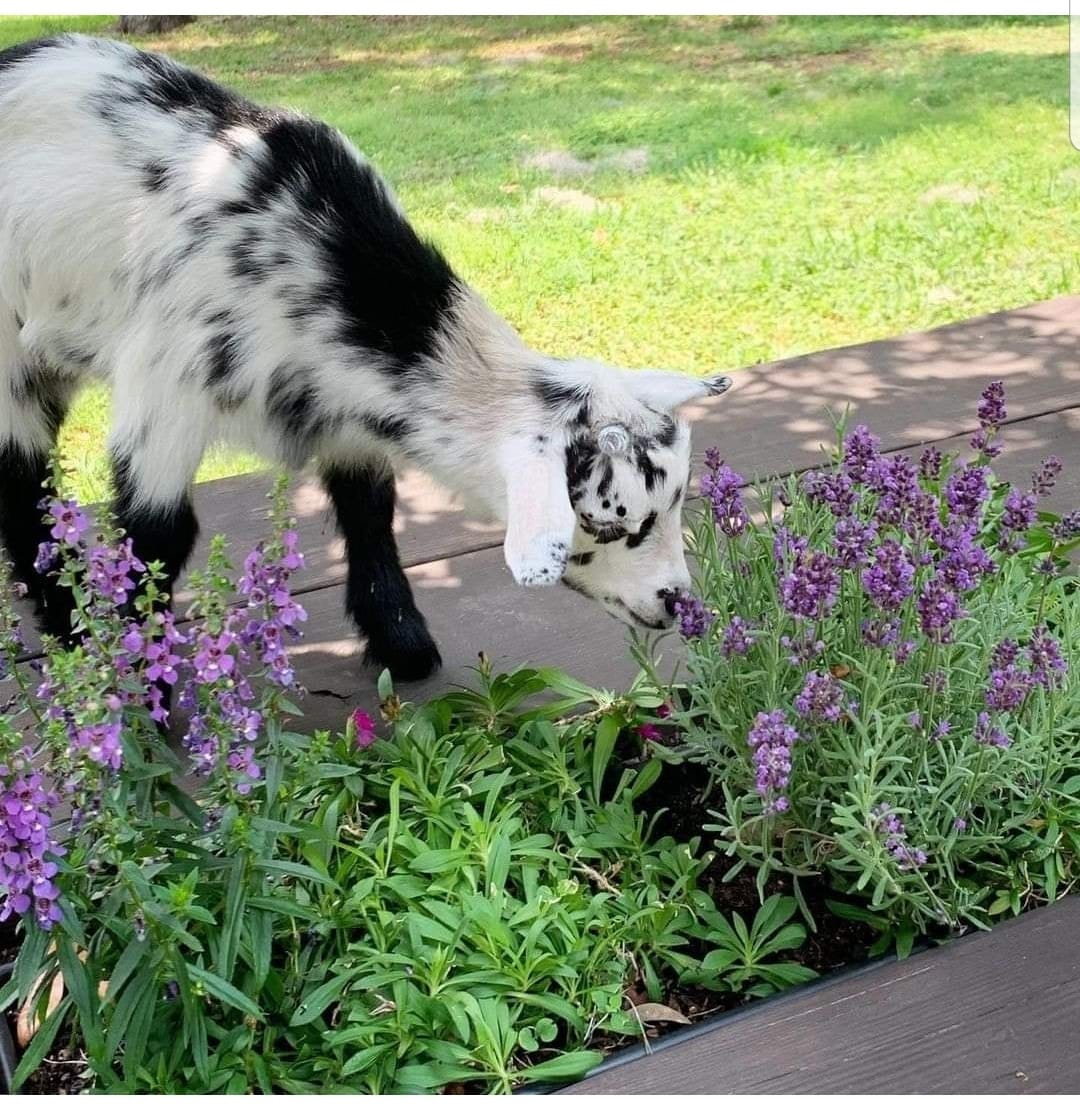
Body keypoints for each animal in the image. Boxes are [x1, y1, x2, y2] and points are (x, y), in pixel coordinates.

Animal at [0, 35, 731, 681]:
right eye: (608, 527)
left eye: (674, 502)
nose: (676, 604)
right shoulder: (166, 389)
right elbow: (157, 539)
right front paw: (133, 682)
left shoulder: (347, 408)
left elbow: (370, 508)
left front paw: (401, 641)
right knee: (22, 483)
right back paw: (67, 624)